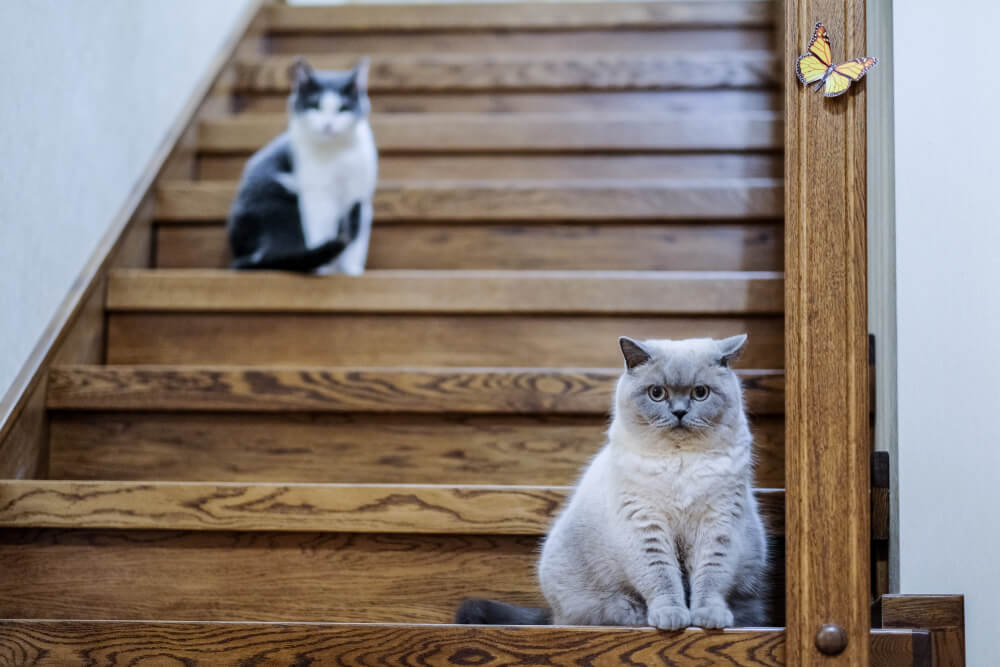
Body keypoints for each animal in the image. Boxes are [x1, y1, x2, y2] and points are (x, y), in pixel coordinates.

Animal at [229, 57, 376, 274]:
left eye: (343, 108)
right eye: (314, 106)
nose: (328, 125)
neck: (339, 153)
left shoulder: (359, 197)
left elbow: (357, 242)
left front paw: (352, 271)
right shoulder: (318, 197)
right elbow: (323, 232)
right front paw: (326, 271)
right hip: (280, 203)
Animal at [458, 336, 768, 628]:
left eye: (700, 393)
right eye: (657, 393)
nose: (679, 412)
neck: (679, 462)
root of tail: (554, 616)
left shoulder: (717, 523)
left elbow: (711, 577)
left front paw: (708, 617)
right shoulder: (645, 524)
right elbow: (662, 578)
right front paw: (672, 617)